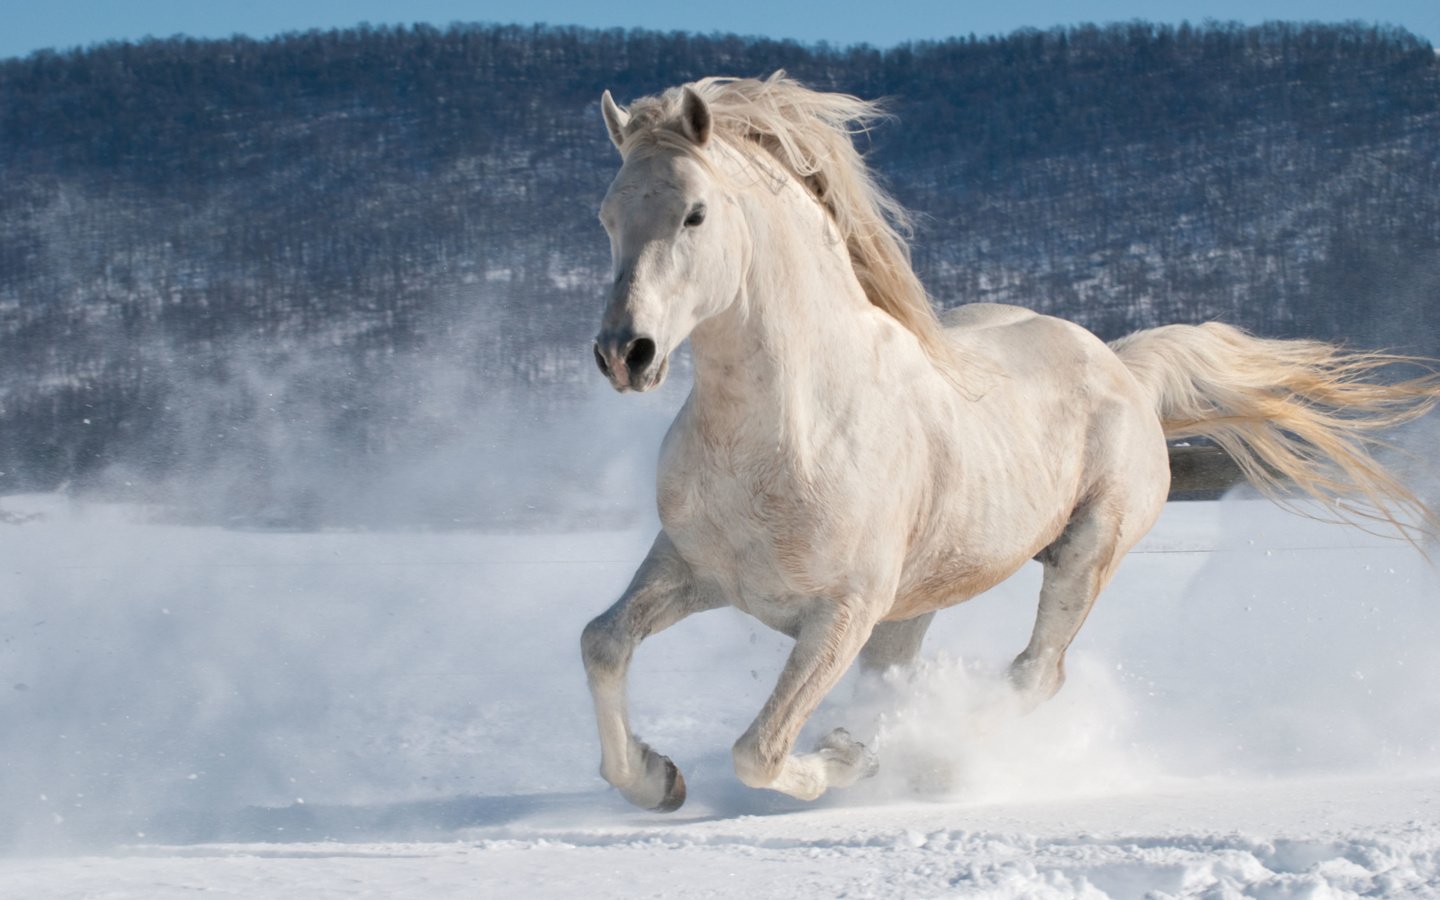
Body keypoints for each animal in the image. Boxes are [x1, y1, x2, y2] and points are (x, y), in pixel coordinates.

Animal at [578, 73, 1434, 812]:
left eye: (695, 213)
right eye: (608, 216)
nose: (626, 353)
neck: (790, 430)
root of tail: (1122, 367)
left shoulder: (843, 612)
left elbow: (760, 750)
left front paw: (845, 761)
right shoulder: (691, 569)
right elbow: (602, 643)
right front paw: (657, 780)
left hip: (1086, 551)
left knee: (1035, 675)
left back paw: (937, 761)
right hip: (918, 599)